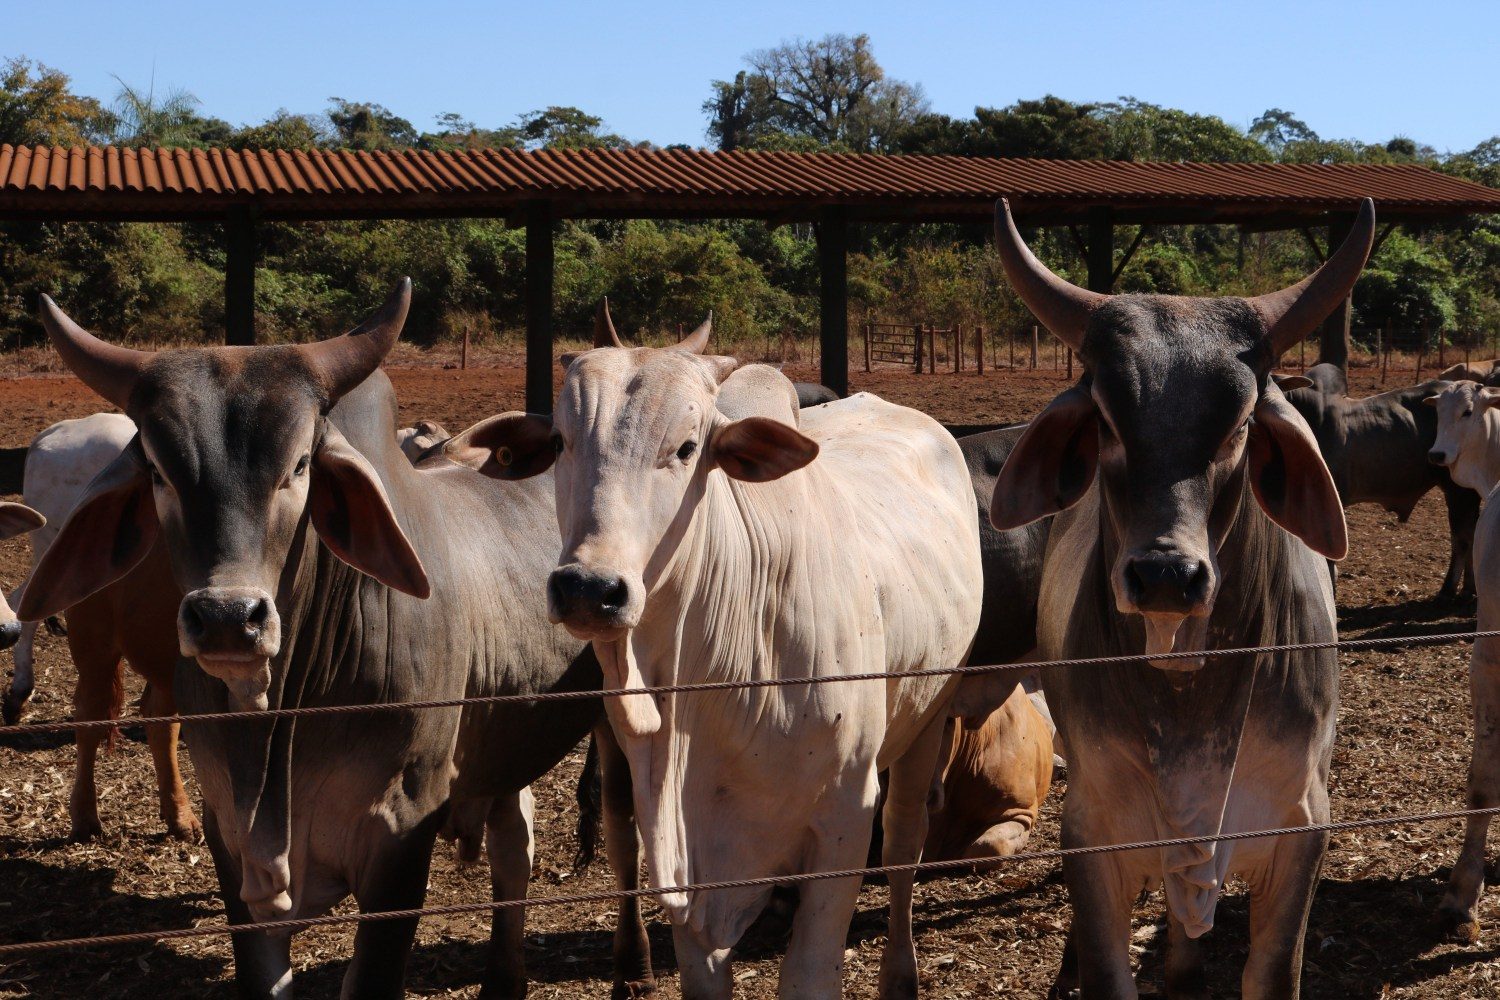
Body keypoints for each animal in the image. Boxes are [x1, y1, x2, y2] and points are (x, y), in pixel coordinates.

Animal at [16, 284, 651, 1000]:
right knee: (514, 843)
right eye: (157, 471)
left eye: (298, 465)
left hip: (616, 718)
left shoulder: (402, 831)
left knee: (623, 832)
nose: (229, 618)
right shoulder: (232, 842)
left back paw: (633, 966)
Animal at [444, 320, 984, 1000]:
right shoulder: (686, 866)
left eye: (686, 447)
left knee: (906, 844)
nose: (589, 588)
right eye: (562, 442)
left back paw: (900, 974)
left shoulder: (842, 823)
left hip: (929, 715)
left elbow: (810, 973)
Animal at [984, 199, 1374, 995]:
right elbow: (1106, 967)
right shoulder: (1093, 836)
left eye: (1241, 424)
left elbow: (1272, 971)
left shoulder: (1300, 830)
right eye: (1106, 419)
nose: (1166, 574)